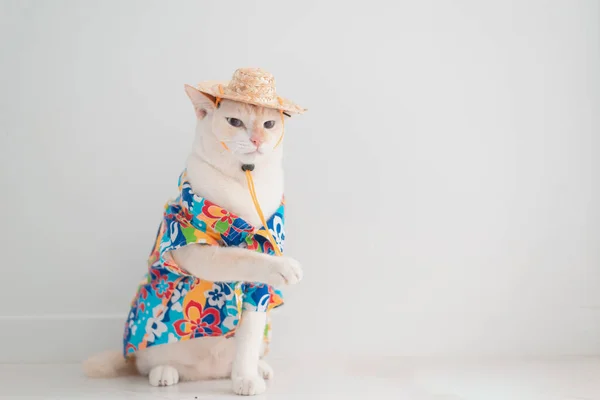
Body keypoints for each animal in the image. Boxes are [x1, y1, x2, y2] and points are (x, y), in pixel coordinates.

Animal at [84, 79, 304, 396]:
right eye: (234, 122)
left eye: (269, 124)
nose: (256, 140)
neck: (244, 182)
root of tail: (206, 374)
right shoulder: (195, 249)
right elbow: (242, 256)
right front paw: (285, 267)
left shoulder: (257, 292)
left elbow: (247, 341)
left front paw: (245, 378)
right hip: (150, 341)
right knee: (145, 365)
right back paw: (165, 372)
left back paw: (257, 369)